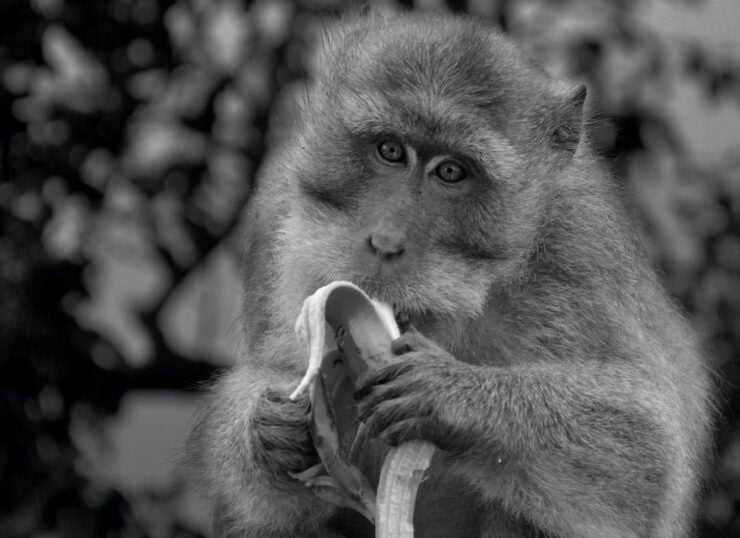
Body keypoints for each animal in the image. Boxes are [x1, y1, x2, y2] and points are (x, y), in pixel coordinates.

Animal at [187, 11, 712, 538]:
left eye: (451, 172)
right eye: (391, 150)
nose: (385, 242)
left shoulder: (580, 242)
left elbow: (651, 449)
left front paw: (451, 397)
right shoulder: (276, 207)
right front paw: (268, 431)